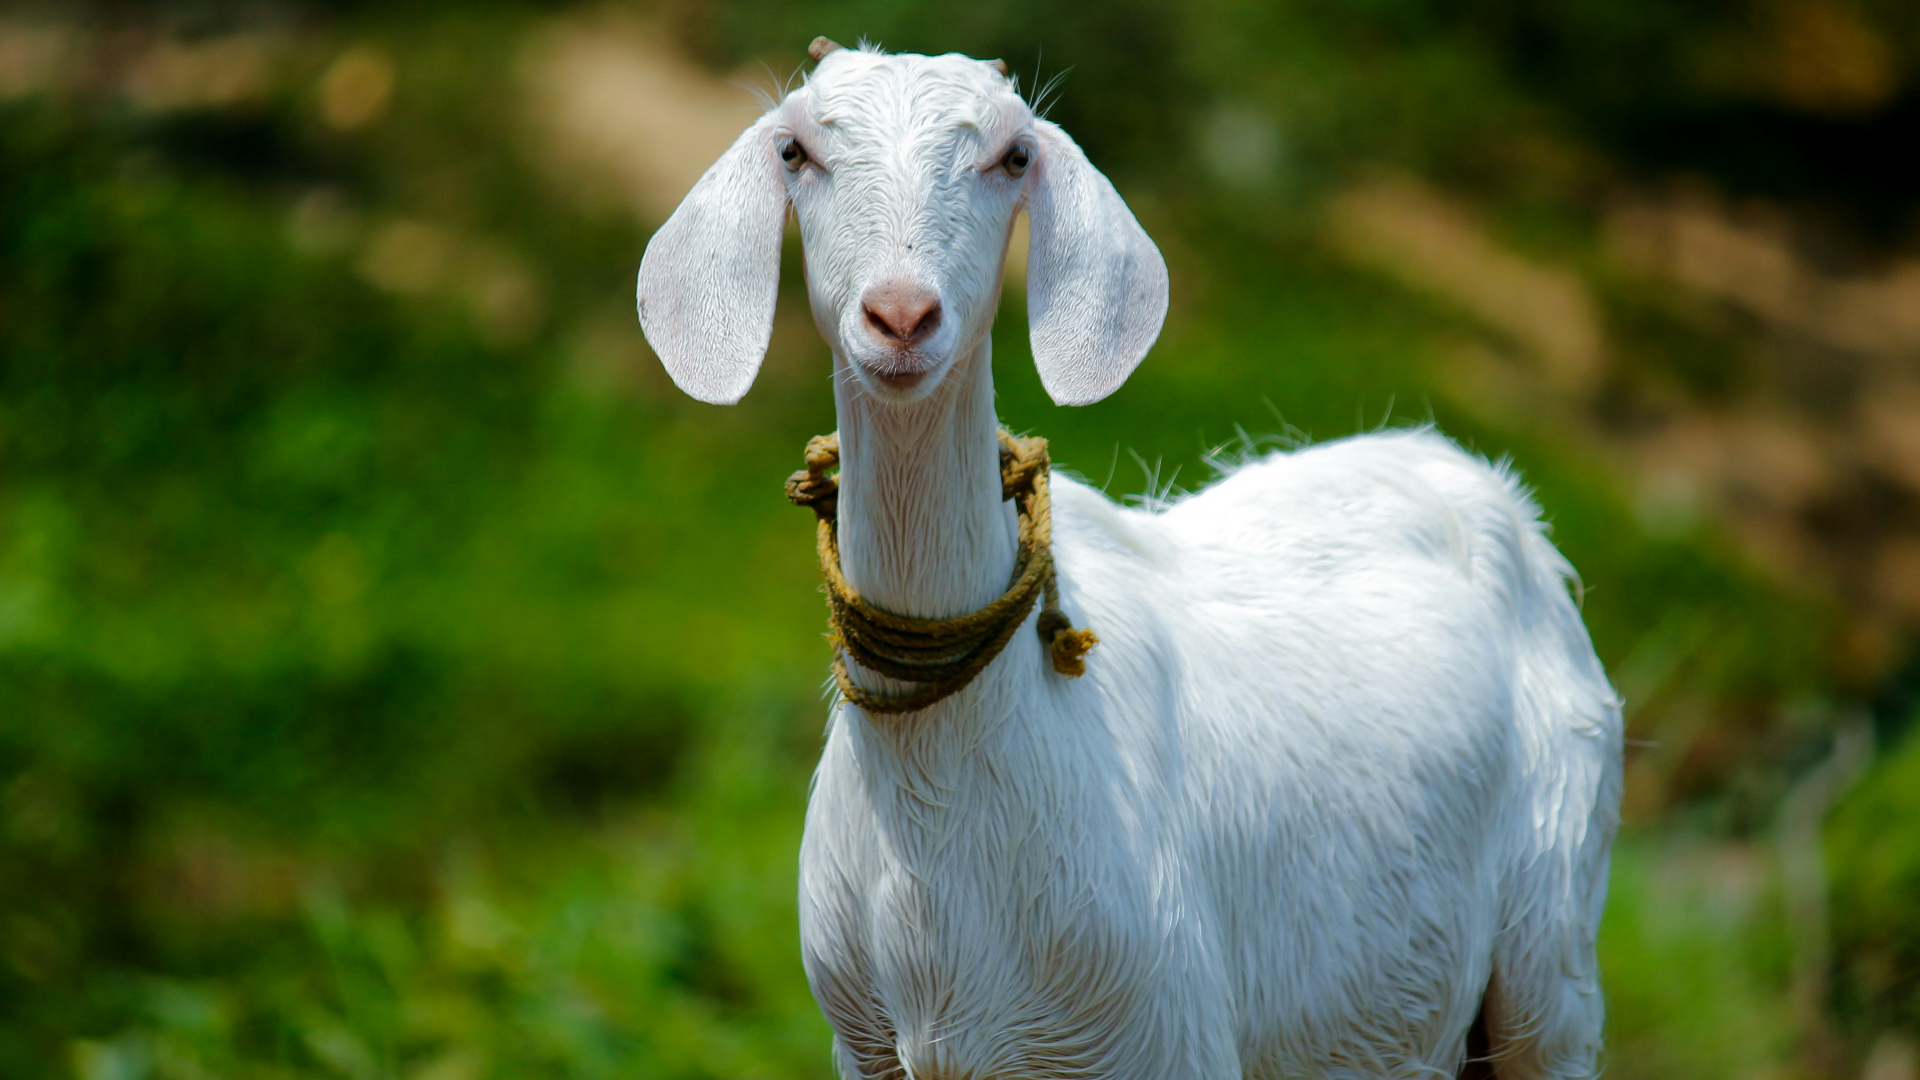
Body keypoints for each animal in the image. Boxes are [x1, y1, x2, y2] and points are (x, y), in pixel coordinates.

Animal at [637, 40, 1623, 1080]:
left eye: (1013, 155)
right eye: (795, 149)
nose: (901, 318)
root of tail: (1480, 482)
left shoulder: (1166, 1032)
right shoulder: (864, 1046)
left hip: (1556, 939)